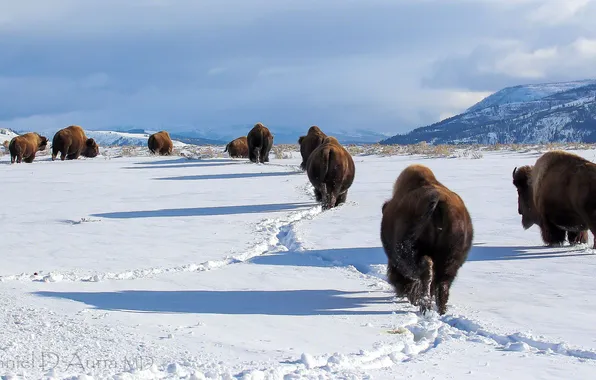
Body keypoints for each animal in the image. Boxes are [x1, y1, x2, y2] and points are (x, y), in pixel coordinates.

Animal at [382, 165, 474, 316]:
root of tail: (438, 200)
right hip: (450, 261)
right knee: (442, 284)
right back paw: (441, 311)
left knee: (426, 272)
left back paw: (424, 306)